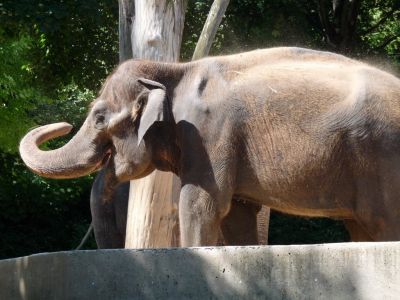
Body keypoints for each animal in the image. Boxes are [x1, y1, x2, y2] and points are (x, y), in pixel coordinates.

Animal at [20, 47, 400, 246]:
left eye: (99, 118)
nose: (64, 124)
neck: (174, 69)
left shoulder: (209, 136)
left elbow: (201, 205)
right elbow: (237, 216)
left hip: (382, 158)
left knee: (385, 225)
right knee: (363, 229)